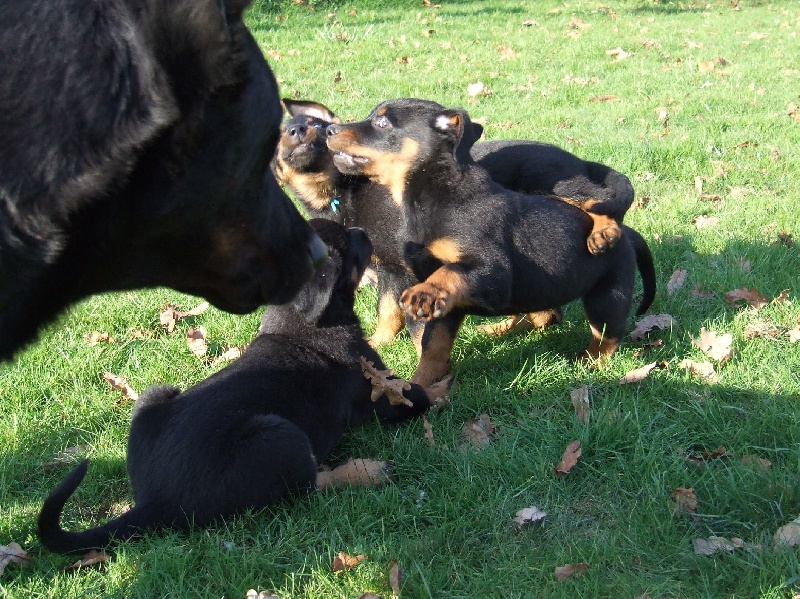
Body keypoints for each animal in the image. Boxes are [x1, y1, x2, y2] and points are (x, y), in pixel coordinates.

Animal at [39, 220, 450, 556]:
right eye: (347, 242)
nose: (364, 230)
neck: (304, 321)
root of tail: (154, 502)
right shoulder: (377, 391)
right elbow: (419, 394)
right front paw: (444, 388)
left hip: (156, 394)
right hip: (282, 436)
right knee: (310, 484)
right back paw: (366, 472)